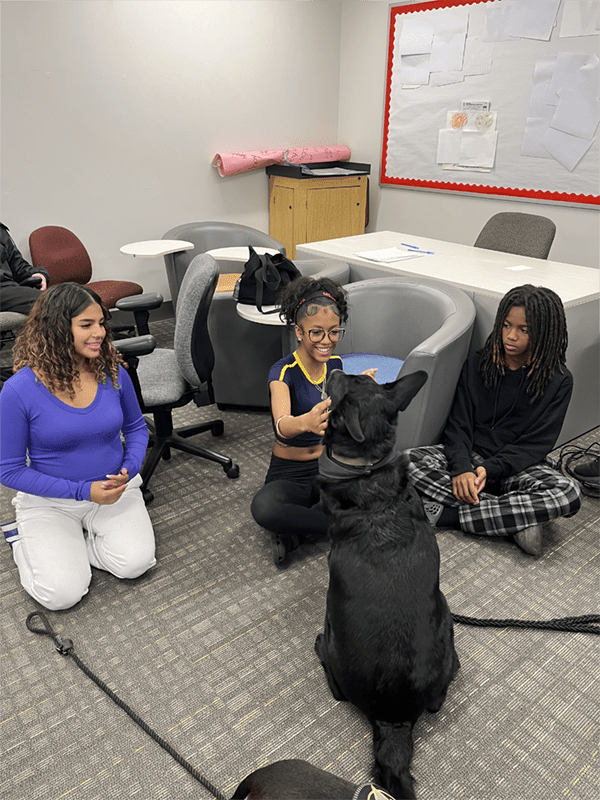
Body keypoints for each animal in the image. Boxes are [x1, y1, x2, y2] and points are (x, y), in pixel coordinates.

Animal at [314, 370, 460, 800]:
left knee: (332, 679)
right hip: (447, 618)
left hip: (334, 629)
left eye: (341, 384)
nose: (334, 367)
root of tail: (393, 720)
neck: (366, 470)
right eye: (355, 377)